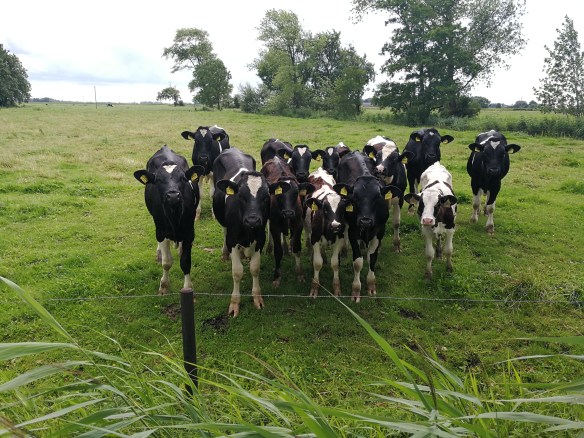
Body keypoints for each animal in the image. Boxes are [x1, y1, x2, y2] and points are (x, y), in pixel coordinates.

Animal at [133, 145, 205, 295]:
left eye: (183, 179)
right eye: (158, 180)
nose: (173, 195)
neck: (174, 215)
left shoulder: (189, 232)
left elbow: (185, 262)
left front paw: (187, 287)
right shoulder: (161, 230)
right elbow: (166, 262)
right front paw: (164, 286)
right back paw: (159, 252)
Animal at [212, 147, 291, 317]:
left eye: (266, 196)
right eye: (241, 196)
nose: (253, 220)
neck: (248, 230)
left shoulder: (260, 239)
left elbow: (255, 268)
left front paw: (257, 298)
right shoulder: (233, 240)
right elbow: (237, 272)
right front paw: (234, 303)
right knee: (224, 231)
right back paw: (225, 253)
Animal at [261, 156, 314, 287]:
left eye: (296, 193)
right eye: (280, 194)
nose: (288, 213)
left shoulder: (298, 224)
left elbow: (297, 248)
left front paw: (299, 274)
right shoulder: (275, 226)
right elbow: (277, 251)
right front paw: (277, 276)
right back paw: (270, 247)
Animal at [304, 168, 348, 297]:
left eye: (342, 209)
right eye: (325, 209)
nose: (335, 225)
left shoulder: (340, 239)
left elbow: (335, 263)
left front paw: (337, 288)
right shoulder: (315, 238)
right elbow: (317, 263)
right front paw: (315, 287)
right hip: (307, 228)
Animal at [333, 151, 401, 302]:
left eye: (377, 197)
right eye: (355, 197)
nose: (365, 221)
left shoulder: (379, 231)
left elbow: (372, 257)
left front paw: (371, 284)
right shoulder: (353, 232)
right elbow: (358, 262)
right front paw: (356, 290)